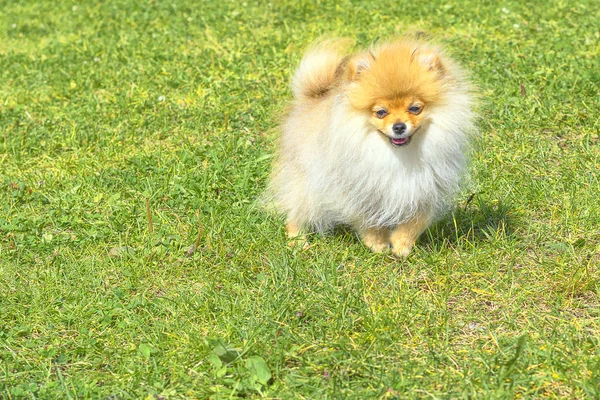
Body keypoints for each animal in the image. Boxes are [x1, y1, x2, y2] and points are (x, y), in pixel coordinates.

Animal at [264, 37, 476, 256]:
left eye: (415, 108)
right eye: (381, 112)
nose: (399, 127)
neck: (398, 155)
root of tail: (312, 97)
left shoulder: (426, 187)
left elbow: (417, 221)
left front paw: (401, 244)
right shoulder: (360, 191)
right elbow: (368, 221)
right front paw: (378, 244)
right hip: (306, 179)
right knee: (297, 208)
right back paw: (298, 240)